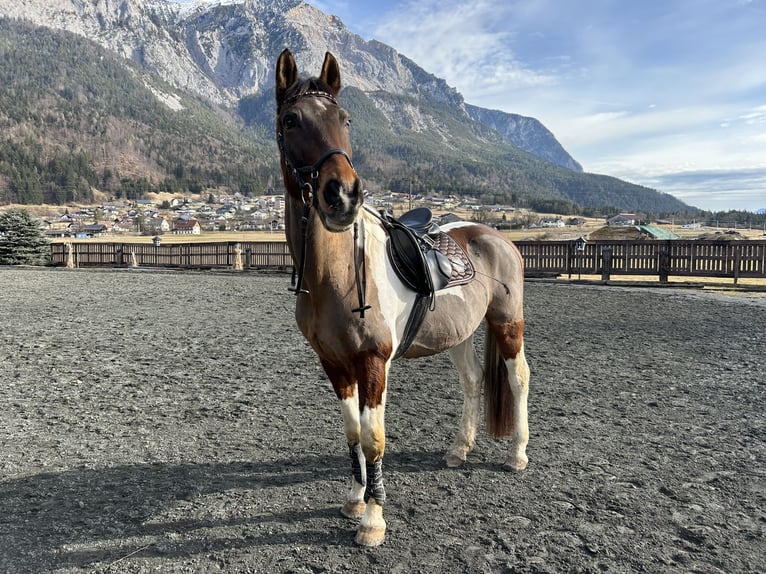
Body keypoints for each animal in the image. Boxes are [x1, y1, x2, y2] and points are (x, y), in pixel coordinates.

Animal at [278, 47, 536, 548]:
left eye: (345, 118)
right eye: (291, 120)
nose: (343, 195)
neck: (337, 273)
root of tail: (498, 237)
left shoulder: (373, 361)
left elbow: (374, 436)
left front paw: (373, 520)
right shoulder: (334, 363)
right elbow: (352, 432)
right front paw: (355, 499)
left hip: (506, 323)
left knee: (518, 378)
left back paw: (517, 454)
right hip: (459, 335)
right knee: (473, 380)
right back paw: (458, 449)